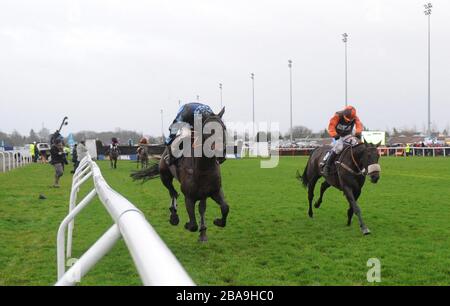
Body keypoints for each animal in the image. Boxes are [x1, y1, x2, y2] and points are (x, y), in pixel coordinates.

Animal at [130, 107, 229, 241]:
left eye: (223, 127)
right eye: (207, 130)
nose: (220, 153)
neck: (204, 168)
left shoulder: (215, 191)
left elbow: (225, 207)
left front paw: (218, 221)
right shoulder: (189, 196)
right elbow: (193, 225)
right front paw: (188, 224)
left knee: (201, 207)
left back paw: (203, 232)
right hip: (165, 176)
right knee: (173, 193)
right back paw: (174, 216)